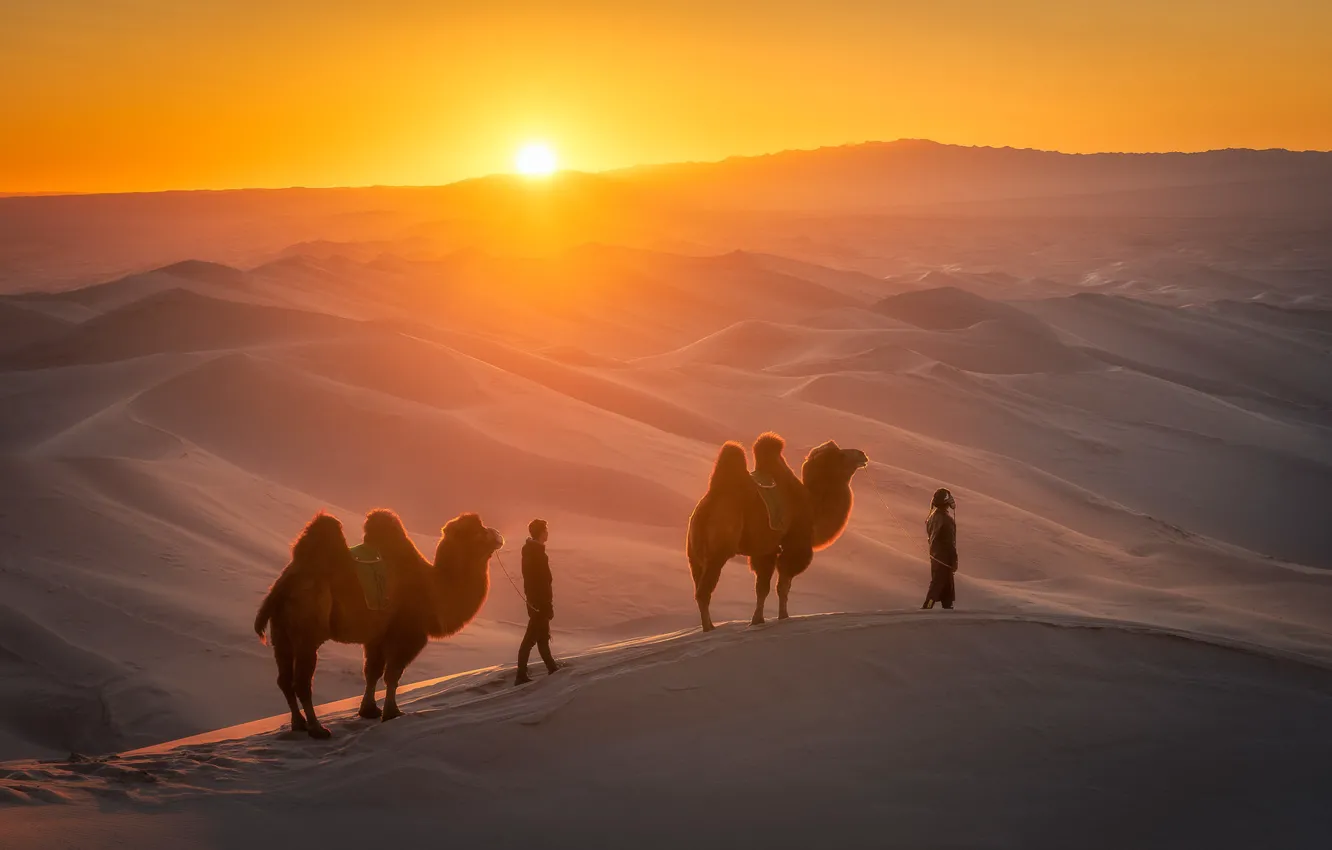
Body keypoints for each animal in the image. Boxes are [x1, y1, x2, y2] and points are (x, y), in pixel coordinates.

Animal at [250, 511, 500, 740]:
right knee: (301, 681)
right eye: (479, 531)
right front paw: (392, 713)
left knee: (284, 679)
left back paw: (298, 724)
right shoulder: (407, 633)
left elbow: (372, 672)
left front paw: (369, 710)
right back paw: (317, 728)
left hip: (281, 633)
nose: (498, 535)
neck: (433, 588)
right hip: (307, 630)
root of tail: (282, 585)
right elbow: (392, 675)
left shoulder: (377, 636)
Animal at [687, 431, 863, 634]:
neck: (813, 505)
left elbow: (762, 588)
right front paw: (782, 617)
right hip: (719, 546)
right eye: (841, 455)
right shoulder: (794, 544)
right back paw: (710, 628)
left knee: (698, 587)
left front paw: (758, 620)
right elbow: (782, 586)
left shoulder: (764, 550)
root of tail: (707, 506)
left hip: (694, 554)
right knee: (704, 591)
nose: (862, 455)